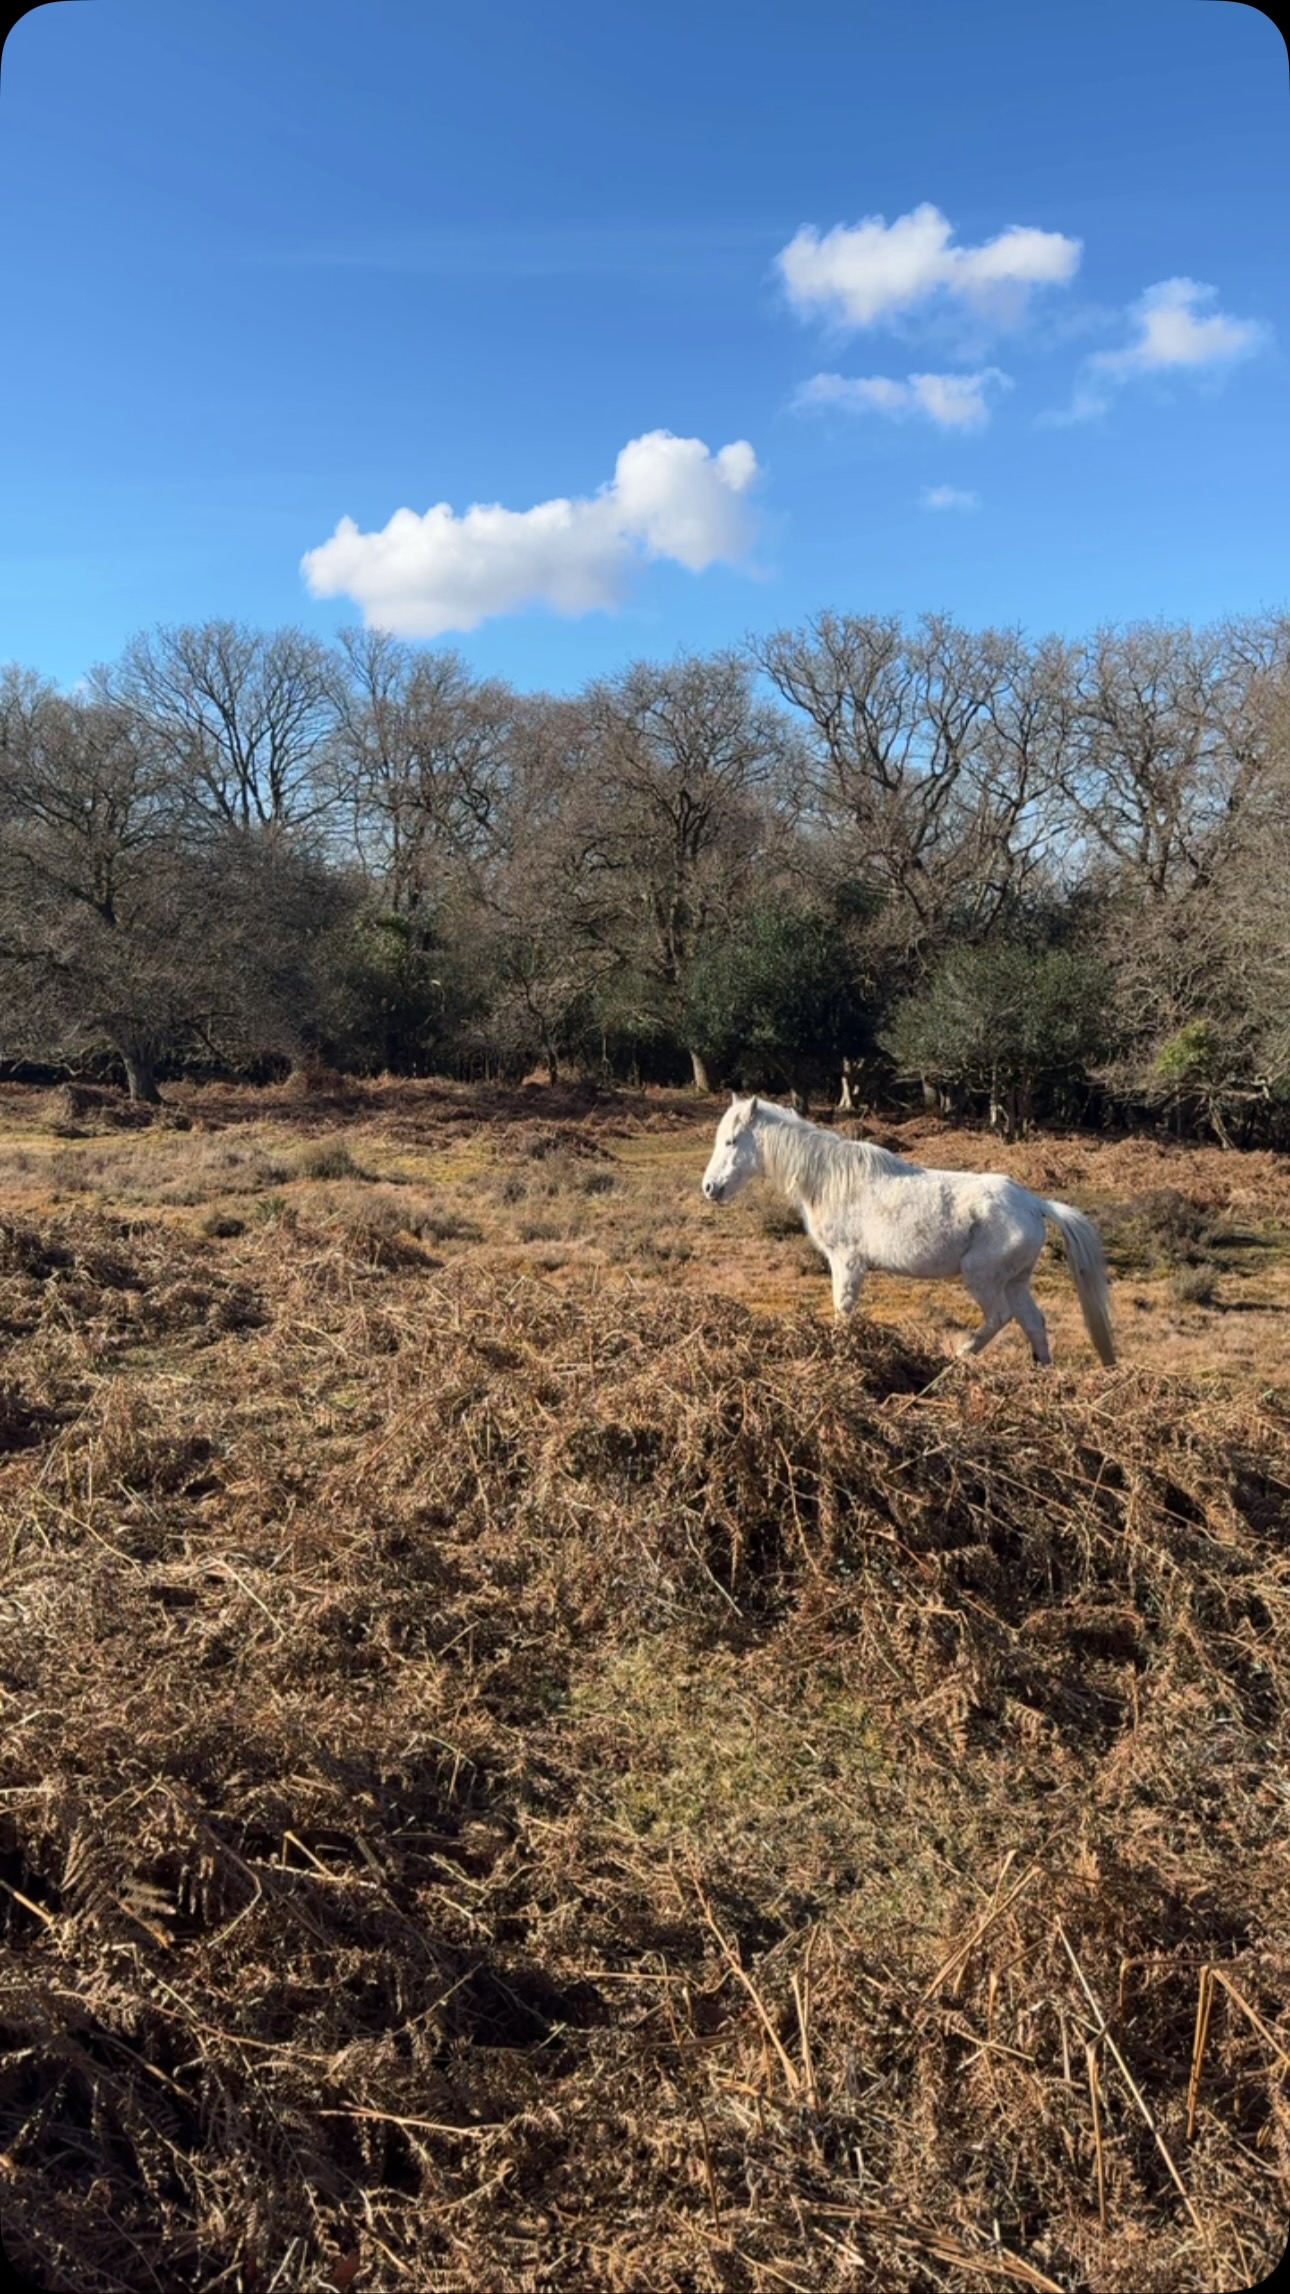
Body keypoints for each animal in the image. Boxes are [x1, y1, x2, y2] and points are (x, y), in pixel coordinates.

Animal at [700, 1096, 1116, 1366]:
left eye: (731, 1141)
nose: (709, 1188)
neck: (833, 1180)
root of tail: (1034, 1204)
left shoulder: (847, 1262)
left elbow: (843, 1309)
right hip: (1016, 1282)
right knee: (1033, 1324)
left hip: (983, 1278)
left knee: (999, 1317)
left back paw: (960, 1355)